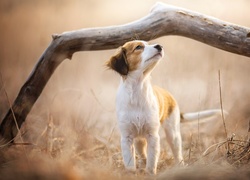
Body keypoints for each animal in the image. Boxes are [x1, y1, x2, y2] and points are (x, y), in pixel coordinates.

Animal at [106, 40, 224, 174]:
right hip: (139, 140)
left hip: (173, 133)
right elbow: (130, 163)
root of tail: (169, 95)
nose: (159, 46)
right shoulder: (127, 137)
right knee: (143, 154)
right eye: (138, 47)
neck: (137, 91)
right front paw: (132, 174)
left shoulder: (153, 136)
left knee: (177, 153)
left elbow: (152, 163)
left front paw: (150, 174)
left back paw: (181, 167)